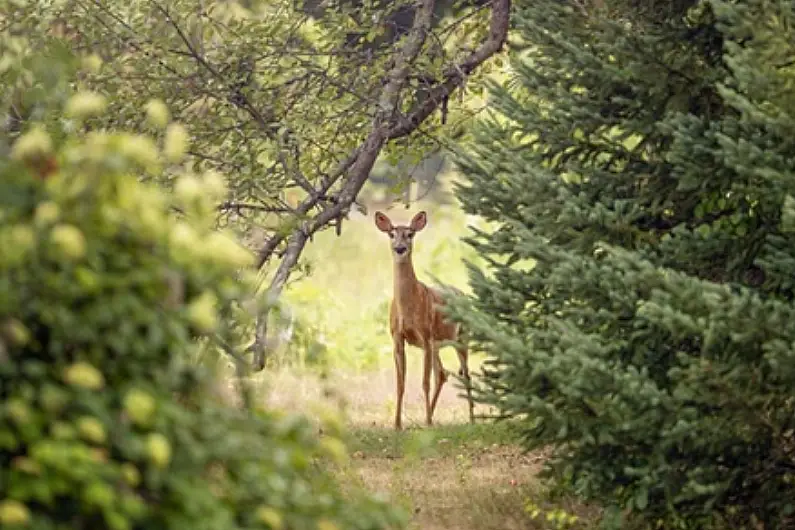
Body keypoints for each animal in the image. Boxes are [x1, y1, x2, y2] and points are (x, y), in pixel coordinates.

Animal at [376, 208, 476, 426]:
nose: (400, 248)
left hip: (461, 338)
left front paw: (428, 423)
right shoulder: (397, 338)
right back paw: (428, 416)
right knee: (442, 373)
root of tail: (463, 295)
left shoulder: (425, 335)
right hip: (438, 345)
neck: (408, 307)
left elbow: (424, 382)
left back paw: (471, 419)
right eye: (391, 234)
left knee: (465, 375)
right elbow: (400, 383)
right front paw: (397, 424)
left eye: (410, 234)